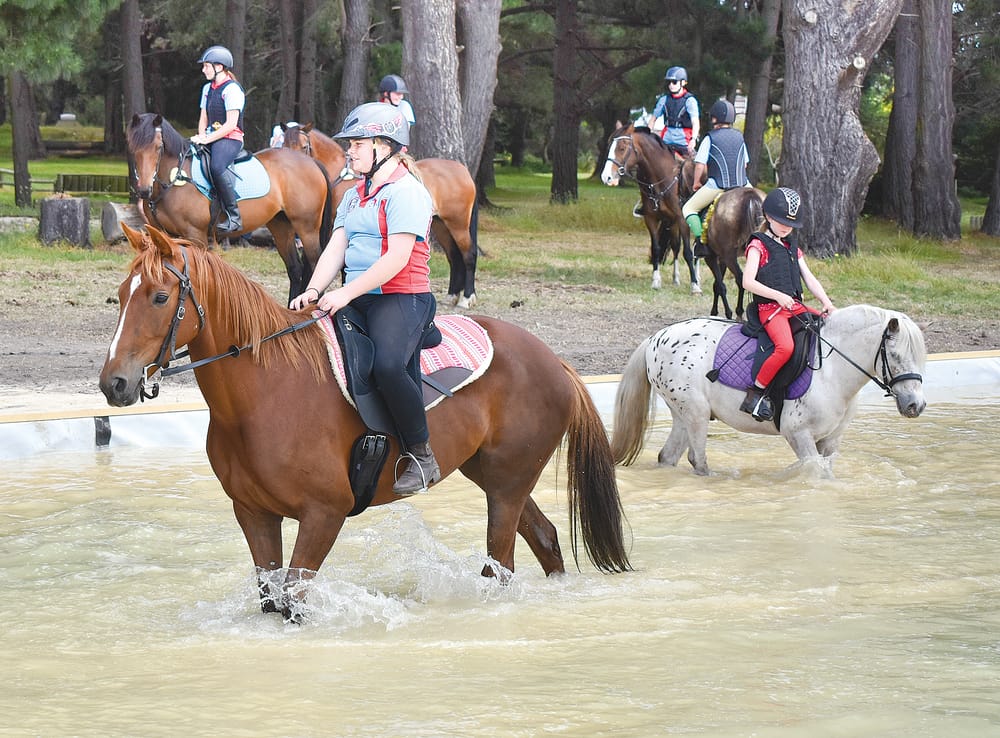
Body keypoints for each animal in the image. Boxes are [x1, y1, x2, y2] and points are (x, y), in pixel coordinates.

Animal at [99, 224, 631, 622]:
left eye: (160, 297)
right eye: (120, 295)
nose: (114, 384)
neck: (266, 393)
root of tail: (553, 359)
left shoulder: (323, 514)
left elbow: (294, 602)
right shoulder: (254, 513)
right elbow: (271, 600)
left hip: (507, 484)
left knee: (499, 567)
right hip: (494, 475)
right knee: (544, 539)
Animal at [127, 113, 334, 302]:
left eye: (158, 147)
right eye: (133, 147)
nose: (144, 190)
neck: (174, 179)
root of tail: (310, 161)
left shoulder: (195, 235)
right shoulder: (165, 235)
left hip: (307, 228)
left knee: (316, 265)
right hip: (281, 226)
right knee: (295, 269)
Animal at [281, 122, 481, 309]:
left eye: (304, 146)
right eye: (283, 144)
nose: (293, 163)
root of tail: (463, 171)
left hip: (458, 223)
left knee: (468, 254)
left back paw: (466, 297)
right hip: (441, 226)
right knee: (454, 257)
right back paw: (452, 294)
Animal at [601, 122, 701, 294]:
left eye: (622, 147)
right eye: (609, 146)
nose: (605, 177)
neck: (661, 178)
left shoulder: (682, 219)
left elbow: (688, 252)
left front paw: (694, 285)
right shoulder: (652, 219)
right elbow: (657, 249)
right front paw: (656, 281)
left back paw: (698, 278)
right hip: (671, 223)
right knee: (676, 246)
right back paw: (676, 278)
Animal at [610, 305, 927, 476]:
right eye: (895, 356)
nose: (916, 406)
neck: (832, 369)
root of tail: (656, 337)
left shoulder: (830, 441)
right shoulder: (798, 434)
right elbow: (815, 476)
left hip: (682, 415)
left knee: (668, 457)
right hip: (695, 413)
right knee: (696, 460)